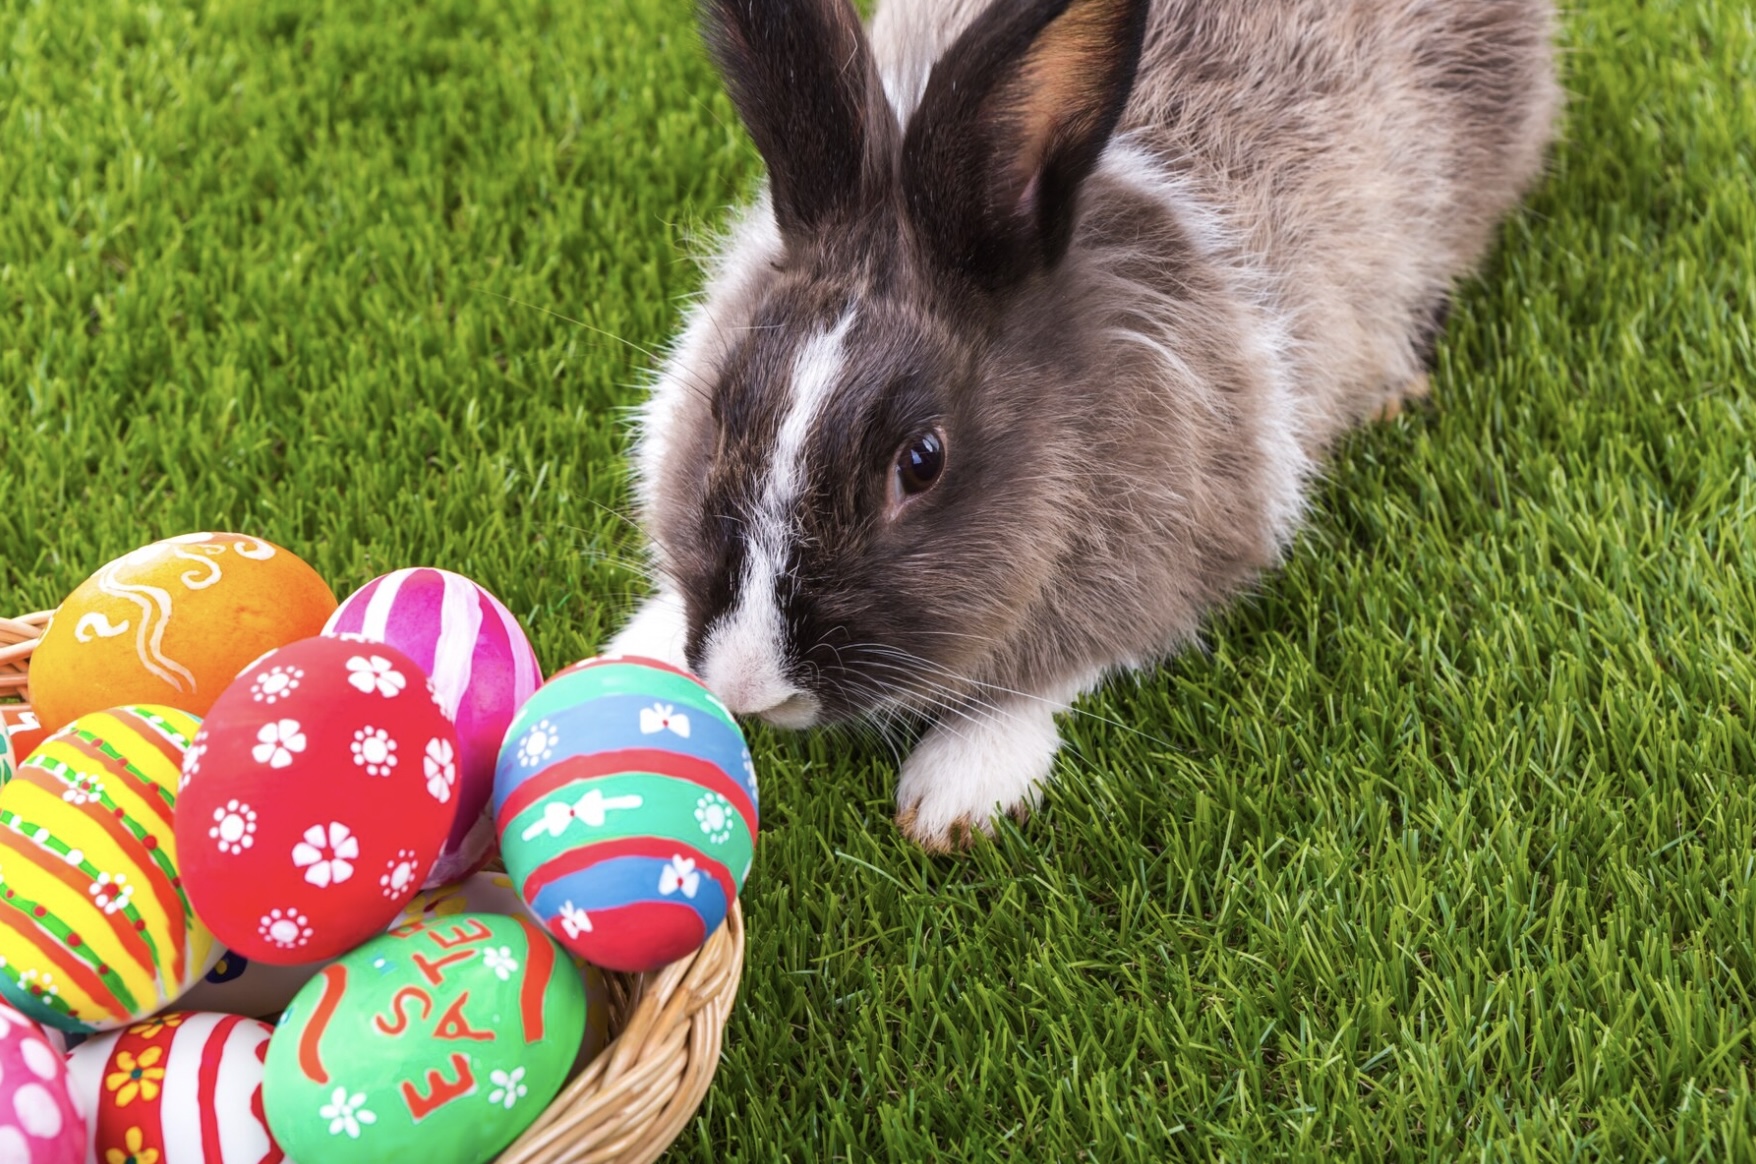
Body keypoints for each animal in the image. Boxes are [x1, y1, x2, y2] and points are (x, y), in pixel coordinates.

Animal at [607, 0, 1566, 853]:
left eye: (922, 462)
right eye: (725, 402)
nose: (745, 685)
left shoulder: (1187, 544)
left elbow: (1064, 666)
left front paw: (960, 790)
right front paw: (636, 649)